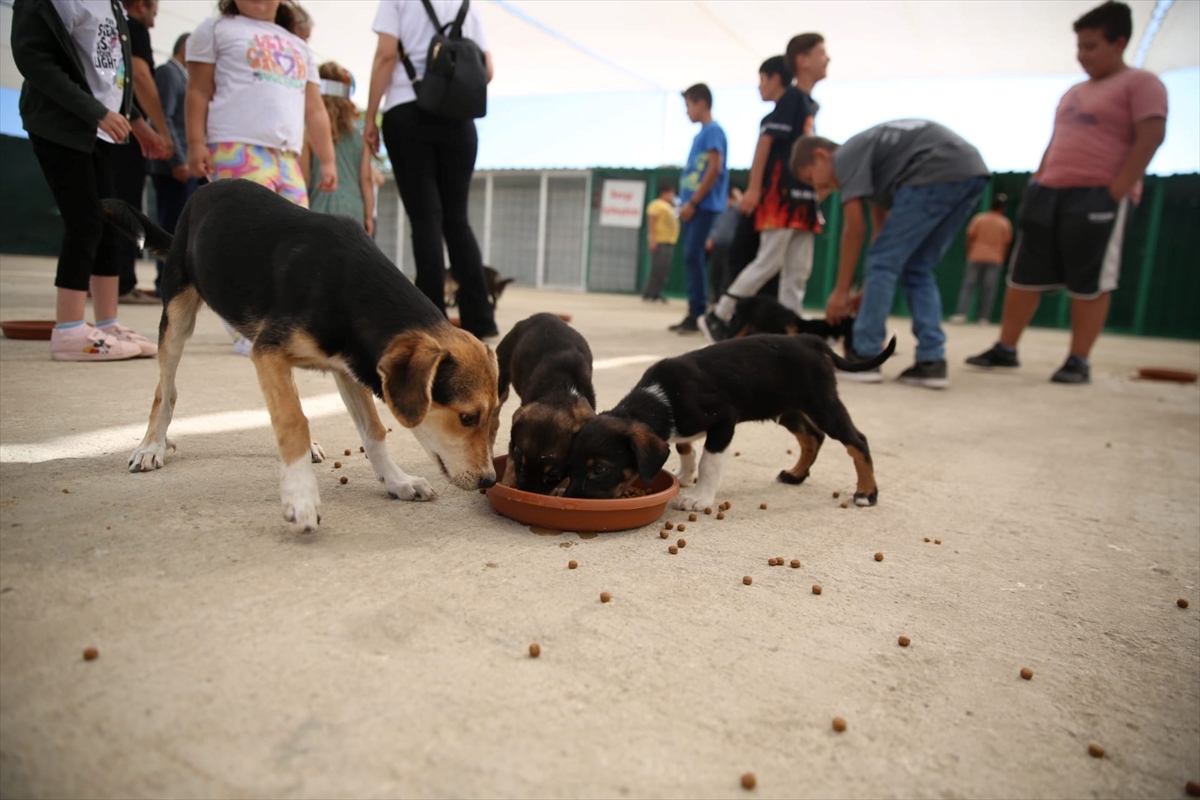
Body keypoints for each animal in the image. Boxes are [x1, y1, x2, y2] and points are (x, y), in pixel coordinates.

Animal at [99, 178, 496, 534]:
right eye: (466, 418)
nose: (490, 481)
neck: (350, 287)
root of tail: (206, 188)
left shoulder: (346, 367)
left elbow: (373, 430)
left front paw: (397, 481)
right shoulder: (271, 351)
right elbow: (292, 421)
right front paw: (300, 497)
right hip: (178, 315)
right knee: (165, 390)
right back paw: (151, 445)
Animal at [492, 311, 595, 494]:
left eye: (553, 474)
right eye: (521, 463)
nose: (528, 494)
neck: (559, 393)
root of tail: (541, 315)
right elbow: (510, 463)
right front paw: (507, 485)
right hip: (501, 378)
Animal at [559, 333, 892, 510]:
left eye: (600, 470)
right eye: (569, 466)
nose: (572, 500)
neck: (662, 398)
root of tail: (810, 340)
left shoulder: (723, 421)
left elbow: (708, 462)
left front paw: (699, 498)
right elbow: (685, 448)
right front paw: (683, 475)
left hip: (823, 403)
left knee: (857, 441)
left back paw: (866, 493)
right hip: (787, 409)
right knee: (812, 437)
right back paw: (796, 474)